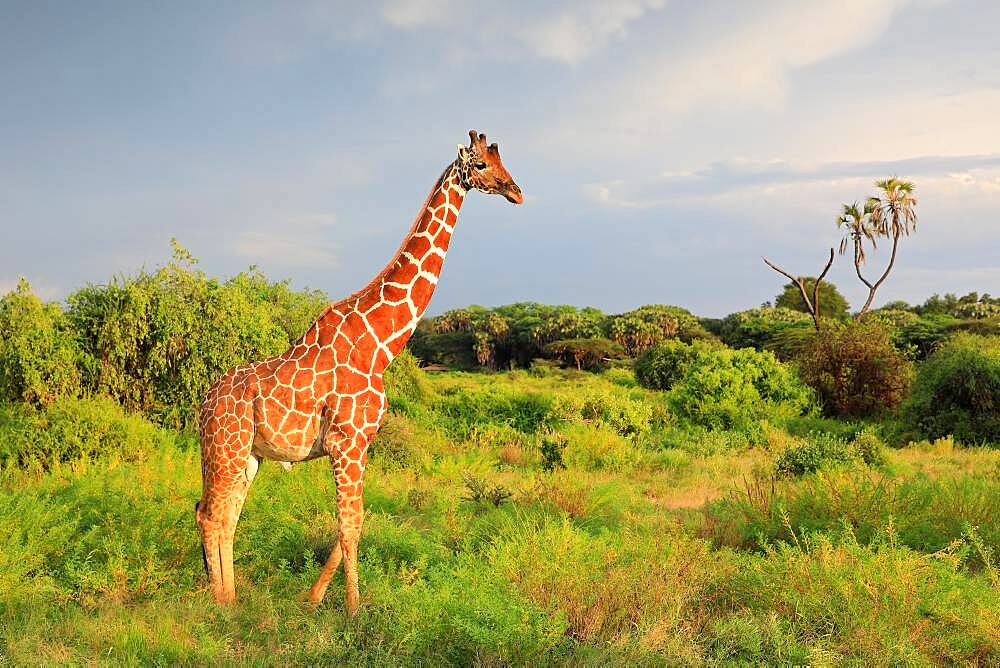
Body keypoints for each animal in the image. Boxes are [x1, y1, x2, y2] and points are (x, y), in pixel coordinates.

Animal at [194, 128, 524, 612]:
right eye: (481, 165)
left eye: (503, 162)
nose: (516, 191)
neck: (380, 346)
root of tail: (203, 401)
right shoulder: (347, 443)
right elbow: (350, 525)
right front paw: (352, 611)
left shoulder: (361, 443)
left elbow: (356, 521)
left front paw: (313, 598)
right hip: (227, 447)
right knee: (211, 513)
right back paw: (219, 601)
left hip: (248, 454)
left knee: (226, 513)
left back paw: (232, 597)